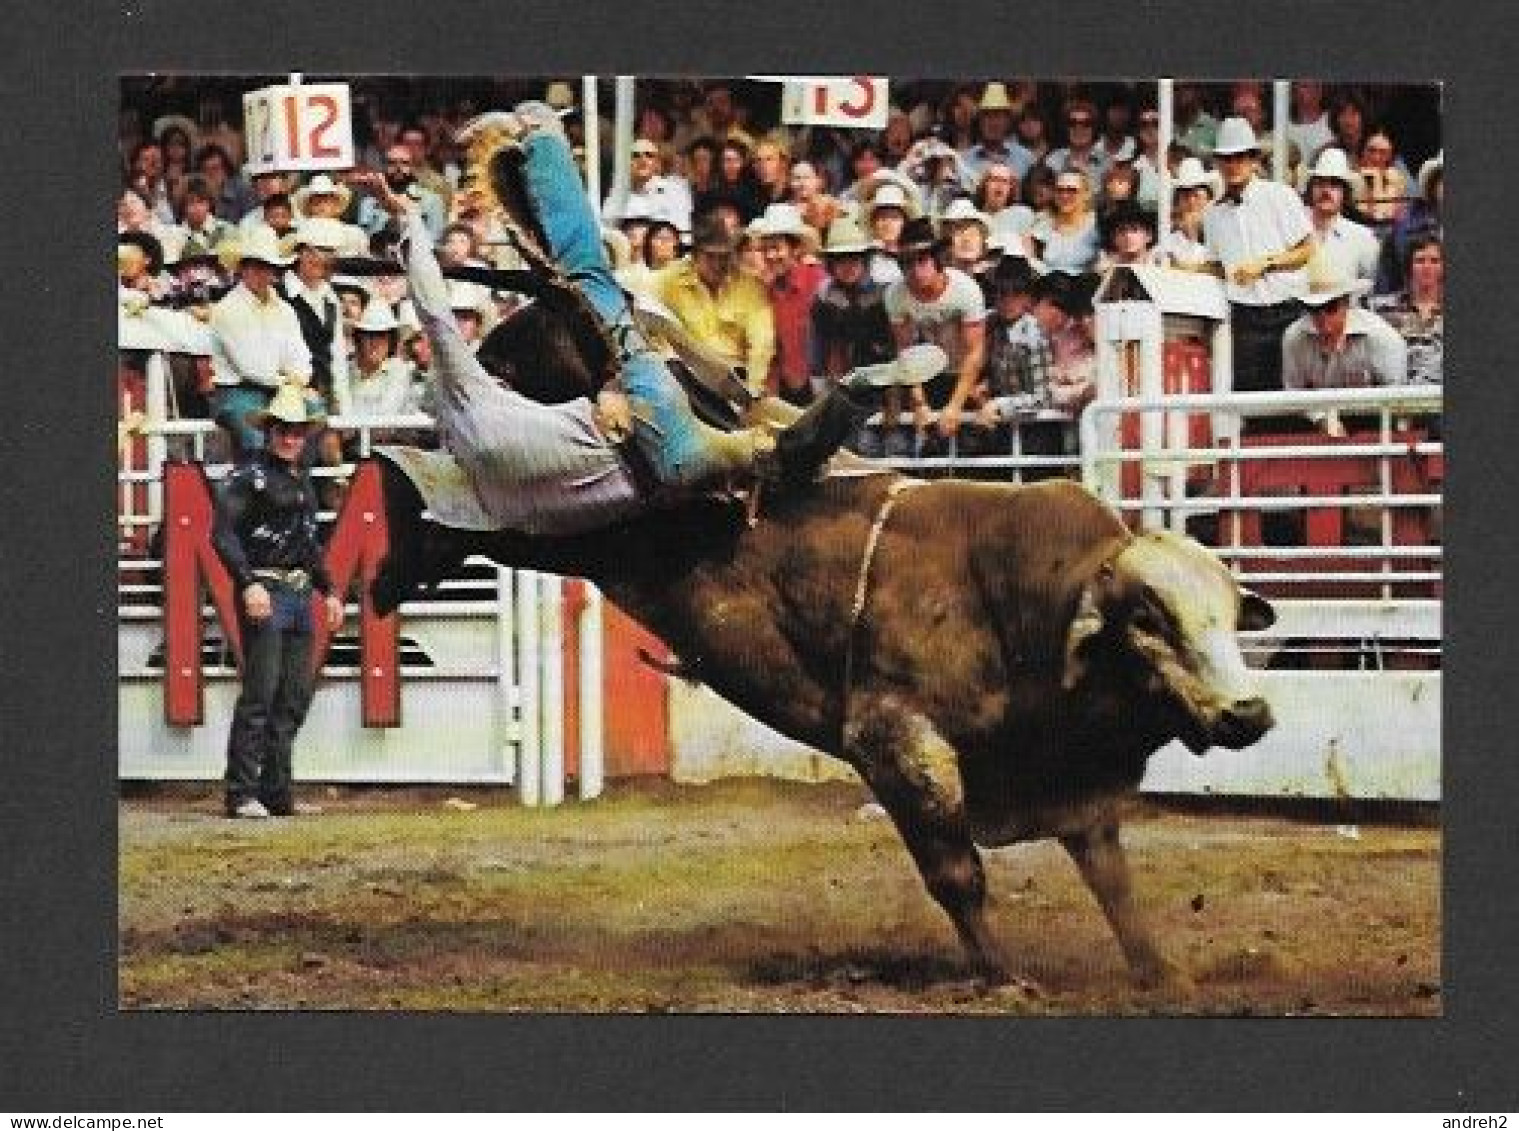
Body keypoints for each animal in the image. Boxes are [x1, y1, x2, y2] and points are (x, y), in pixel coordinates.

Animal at [373, 461, 1275, 989]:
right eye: (1148, 620)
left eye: (1231, 618)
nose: (1249, 711)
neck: (1029, 608)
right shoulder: (896, 743)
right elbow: (957, 872)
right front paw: (1001, 976)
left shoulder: (1071, 781)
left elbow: (1112, 881)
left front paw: (1159, 972)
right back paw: (400, 547)